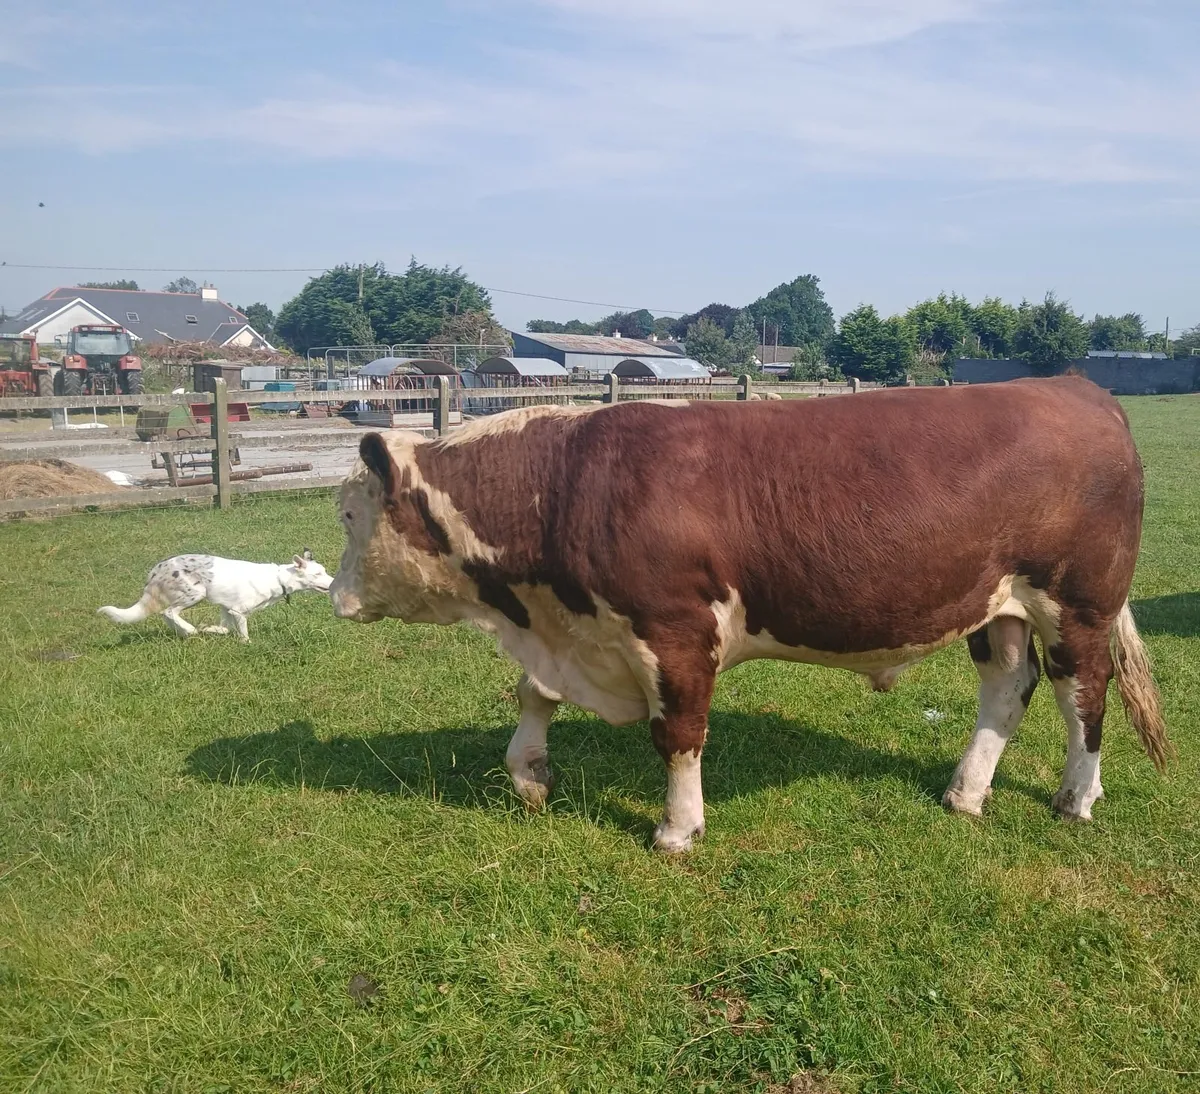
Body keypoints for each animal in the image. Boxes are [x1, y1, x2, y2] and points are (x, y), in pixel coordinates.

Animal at [330, 376, 1169, 852]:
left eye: (346, 513)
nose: (335, 596)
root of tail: (1074, 386)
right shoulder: (579, 626)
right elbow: (533, 695)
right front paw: (529, 774)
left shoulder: (673, 630)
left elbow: (678, 736)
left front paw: (677, 831)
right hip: (997, 604)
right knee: (1007, 689)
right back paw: (965, 794)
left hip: (1079, 599)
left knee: (1083, 695)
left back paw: (1076, 798)